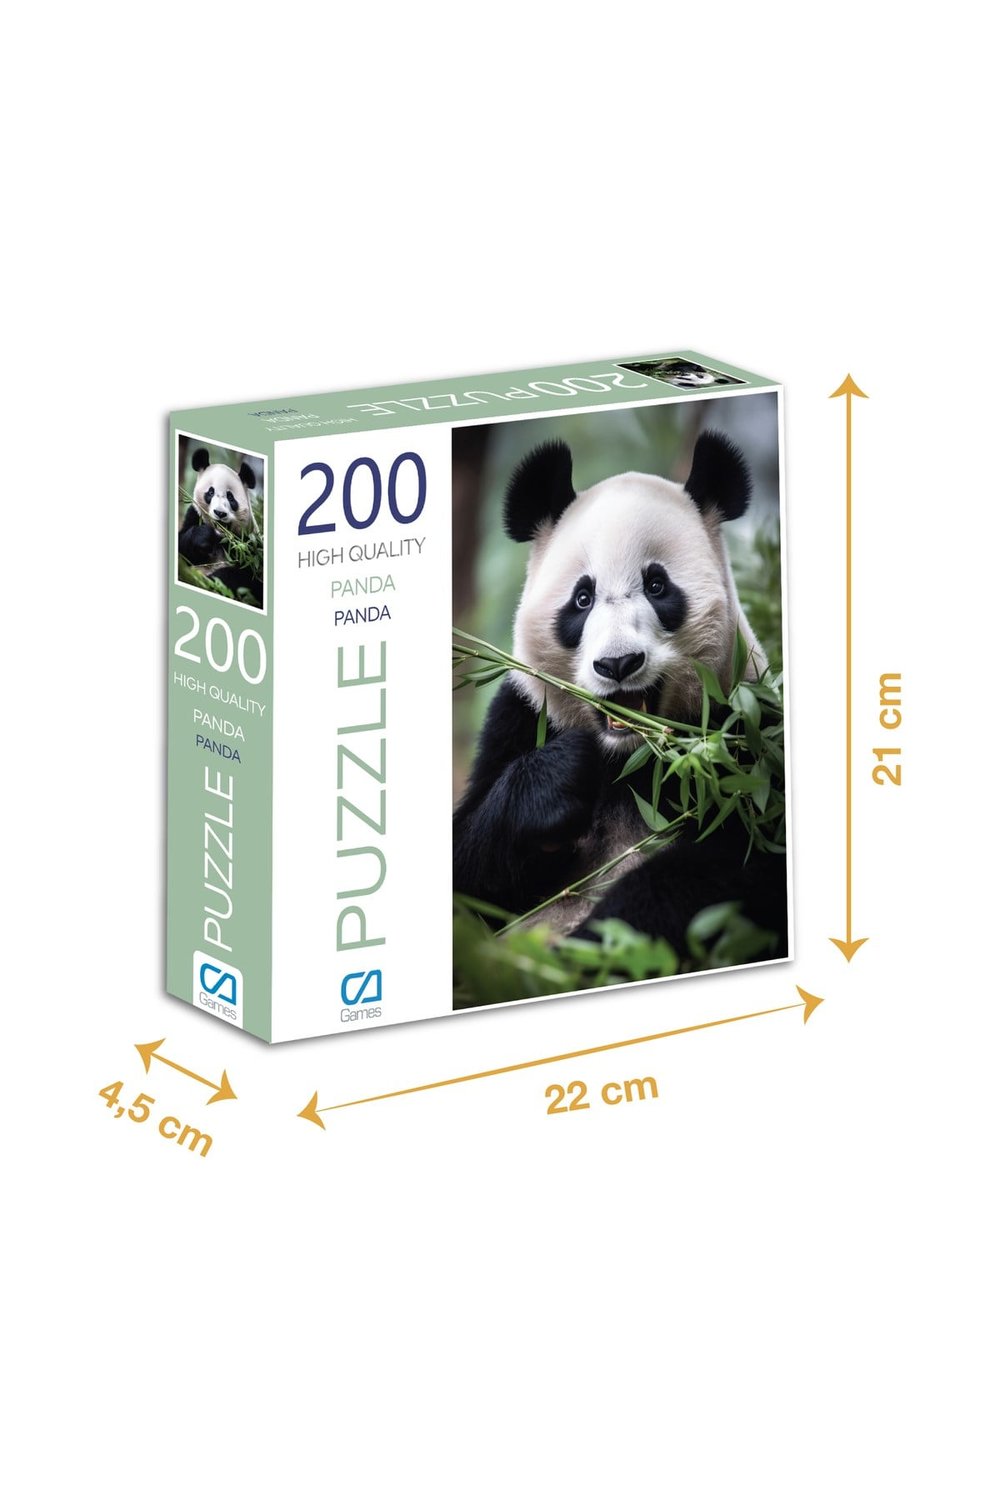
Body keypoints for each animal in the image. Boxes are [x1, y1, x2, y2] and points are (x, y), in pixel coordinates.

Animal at [179, 448, 263, 606]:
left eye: (230, 497)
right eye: (210, 492)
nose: (220, 513)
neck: (221, 537)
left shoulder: (249, 543)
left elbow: (251, 579)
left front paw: (214, 581)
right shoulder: (193, 516)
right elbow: (182, 549)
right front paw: (203, 537)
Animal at [453, 431, 787, 962]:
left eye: (657, 586)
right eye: (582, 598)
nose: (617, 664)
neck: (631, 760)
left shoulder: (747, 734)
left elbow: (740, 863)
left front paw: (600, 945)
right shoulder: (518, 718)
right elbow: (466, 876)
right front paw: (558, 782)